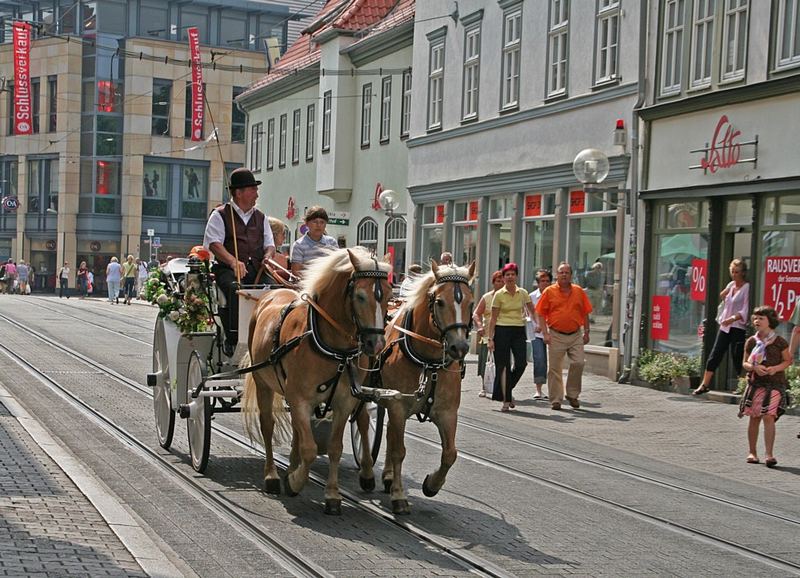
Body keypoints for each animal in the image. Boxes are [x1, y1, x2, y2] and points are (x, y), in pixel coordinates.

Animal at [244, 248, 394, 512]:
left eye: (389, 295)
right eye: (360, 296)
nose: (375, 344)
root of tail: (270, 294)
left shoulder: (343, 402)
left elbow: (334, 447)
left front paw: (332, 494)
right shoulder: (301, 399)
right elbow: (310, 449)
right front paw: (295, 482)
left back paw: (292, 466)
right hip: (263, 383)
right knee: (267, 425)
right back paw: (272, 475)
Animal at [376, 258, 476, 510]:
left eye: (471, 302)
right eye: (439, 302)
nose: (460, 347)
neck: (428, 363)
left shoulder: (448, 413)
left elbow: (450, 453)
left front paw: (432, 484)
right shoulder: (398, 406)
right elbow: (400, 450)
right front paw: (399, 495)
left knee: (390, 434)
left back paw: (389, 476)